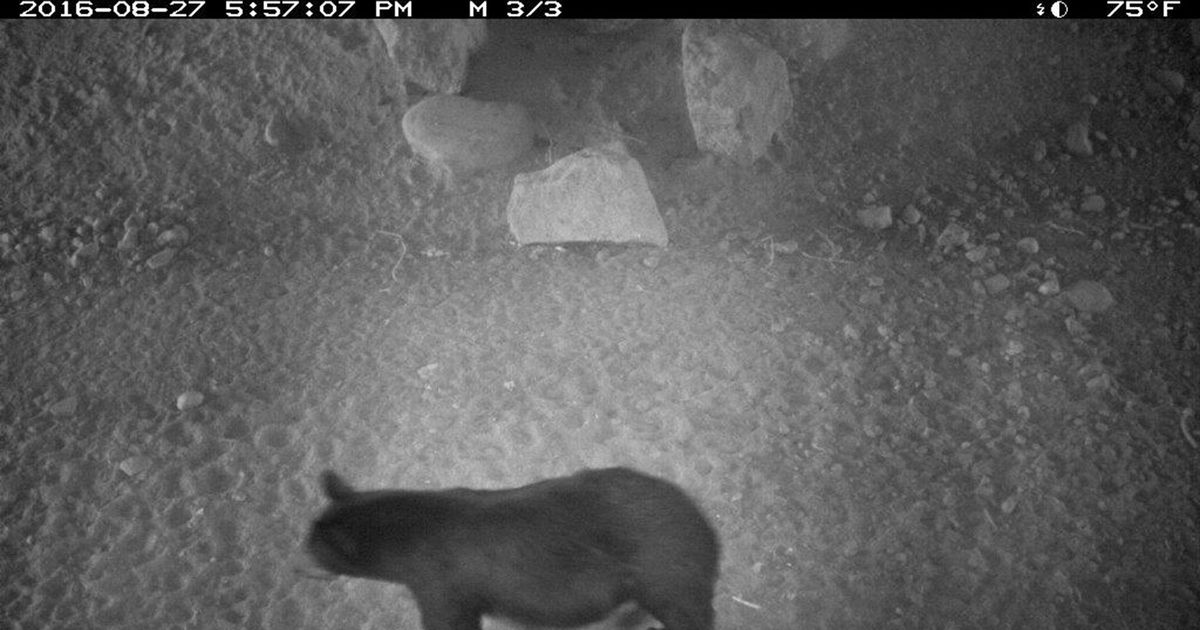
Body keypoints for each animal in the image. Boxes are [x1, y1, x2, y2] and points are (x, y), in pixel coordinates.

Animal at [309, 463, 715, 628]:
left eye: (313, 545)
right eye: (310, 535)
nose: (302, 551)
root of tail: (707, 532)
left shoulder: (443, 584)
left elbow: (450, 620)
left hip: (666, 575)